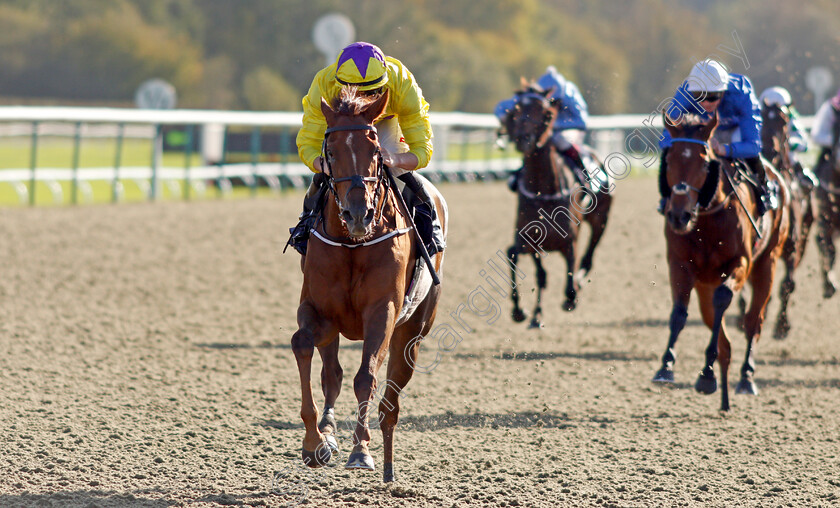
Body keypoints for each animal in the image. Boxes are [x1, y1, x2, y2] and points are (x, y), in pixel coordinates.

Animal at [288, 86, 446, 480]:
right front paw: (314, 442)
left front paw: (360, 449)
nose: (358, 213)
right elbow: (303, 346)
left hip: (413, 331)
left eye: (375, 151)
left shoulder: (383, 311)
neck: (353, 243)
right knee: (332, 372)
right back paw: (328, 434)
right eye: (330, 152)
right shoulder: (319, 310)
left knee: (391, 397)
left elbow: (367, 377)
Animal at [502, 81, 612, 328]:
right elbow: (521, 261)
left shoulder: (569, 240)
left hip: (601, 220)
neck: (542, 191)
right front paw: (523, 312)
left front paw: (571, 297)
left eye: (547, 114)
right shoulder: (529, 239)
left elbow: (570, 276)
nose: (523, 138)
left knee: (589, 256)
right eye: (515, 111)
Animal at [652, 112, 792, 412]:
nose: (678, 215)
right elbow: (679, 313)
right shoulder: (679, 263)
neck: (705, 219)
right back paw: (724, 397)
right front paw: (666, 367)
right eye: (669, 160)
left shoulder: (740, 262)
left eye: (704, 161)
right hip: (705, 282)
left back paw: (745, 378)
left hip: (768, 262)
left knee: (753, 321)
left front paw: (706, 372)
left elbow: (724, 298)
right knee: (720, 334)